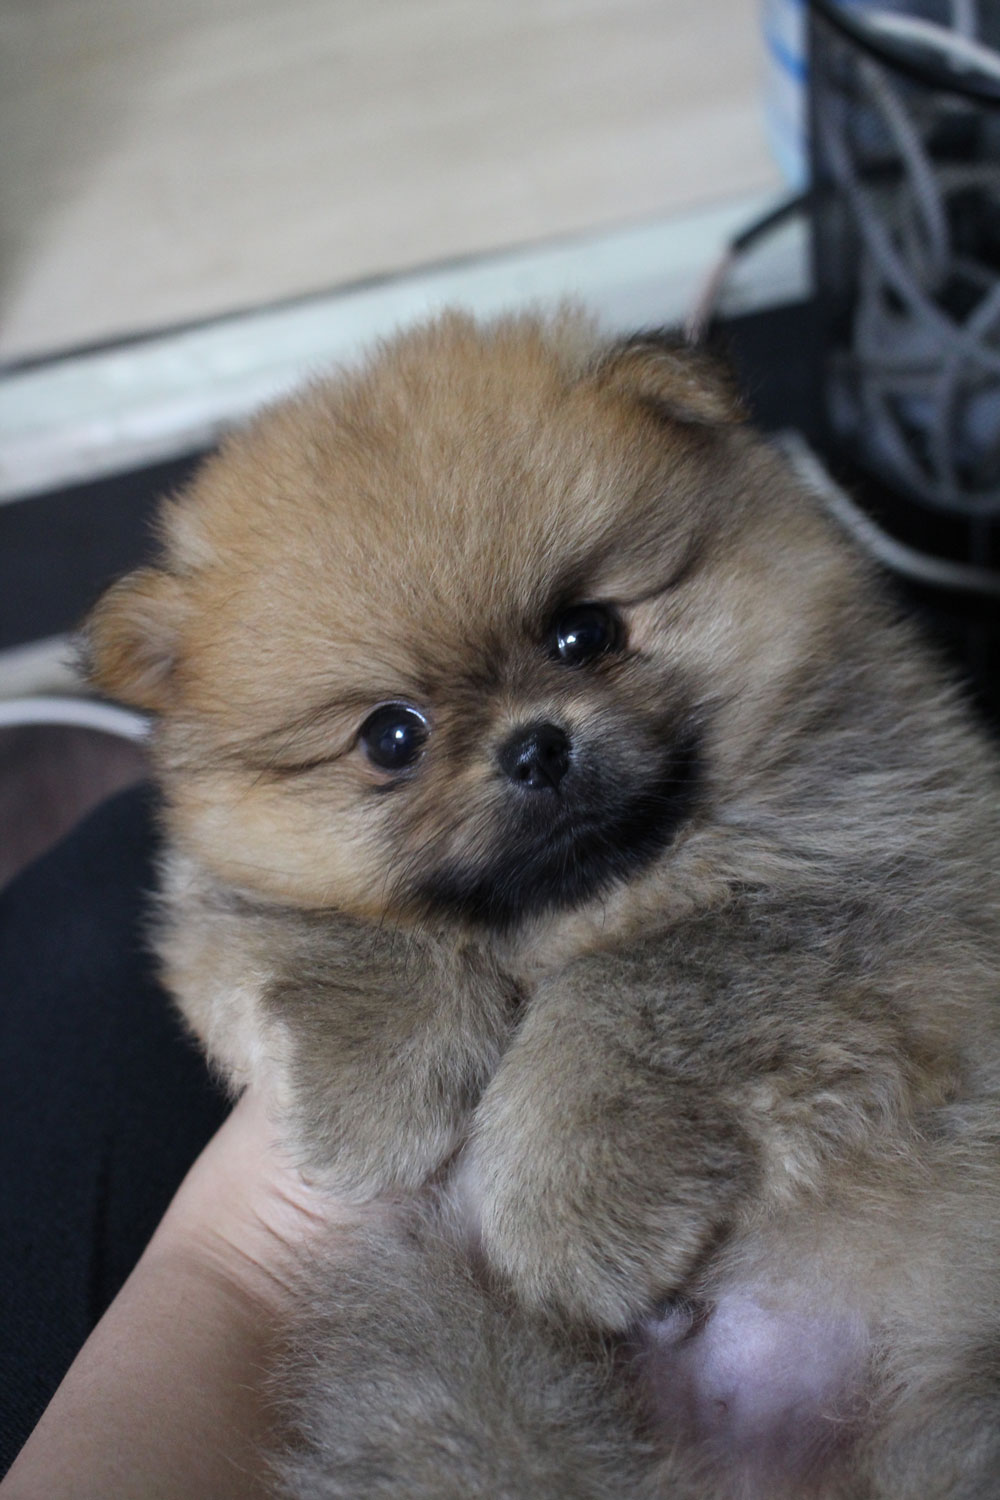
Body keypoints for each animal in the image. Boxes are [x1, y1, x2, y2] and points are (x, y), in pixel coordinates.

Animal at [87, 310, 1000, 1498]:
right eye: (392, 736)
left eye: (585, 633)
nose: (534, 745)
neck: (590, 889)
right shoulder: (241, 891)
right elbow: (338, 930)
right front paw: (372, 1101)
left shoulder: (889, 876)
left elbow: (637, 983)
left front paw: (560, 1204)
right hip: (457, 1376)